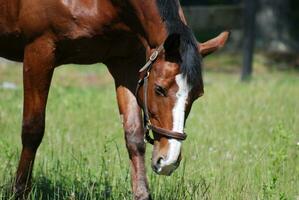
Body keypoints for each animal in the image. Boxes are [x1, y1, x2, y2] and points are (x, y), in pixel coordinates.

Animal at [0, 0, 230, 199]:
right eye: (159, 89)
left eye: (197, 95)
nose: (169, 161)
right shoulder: (39, 51)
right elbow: (33, 129)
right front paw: (18, 191)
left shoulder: (125, 62)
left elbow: (134, 135)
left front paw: (142, 194)